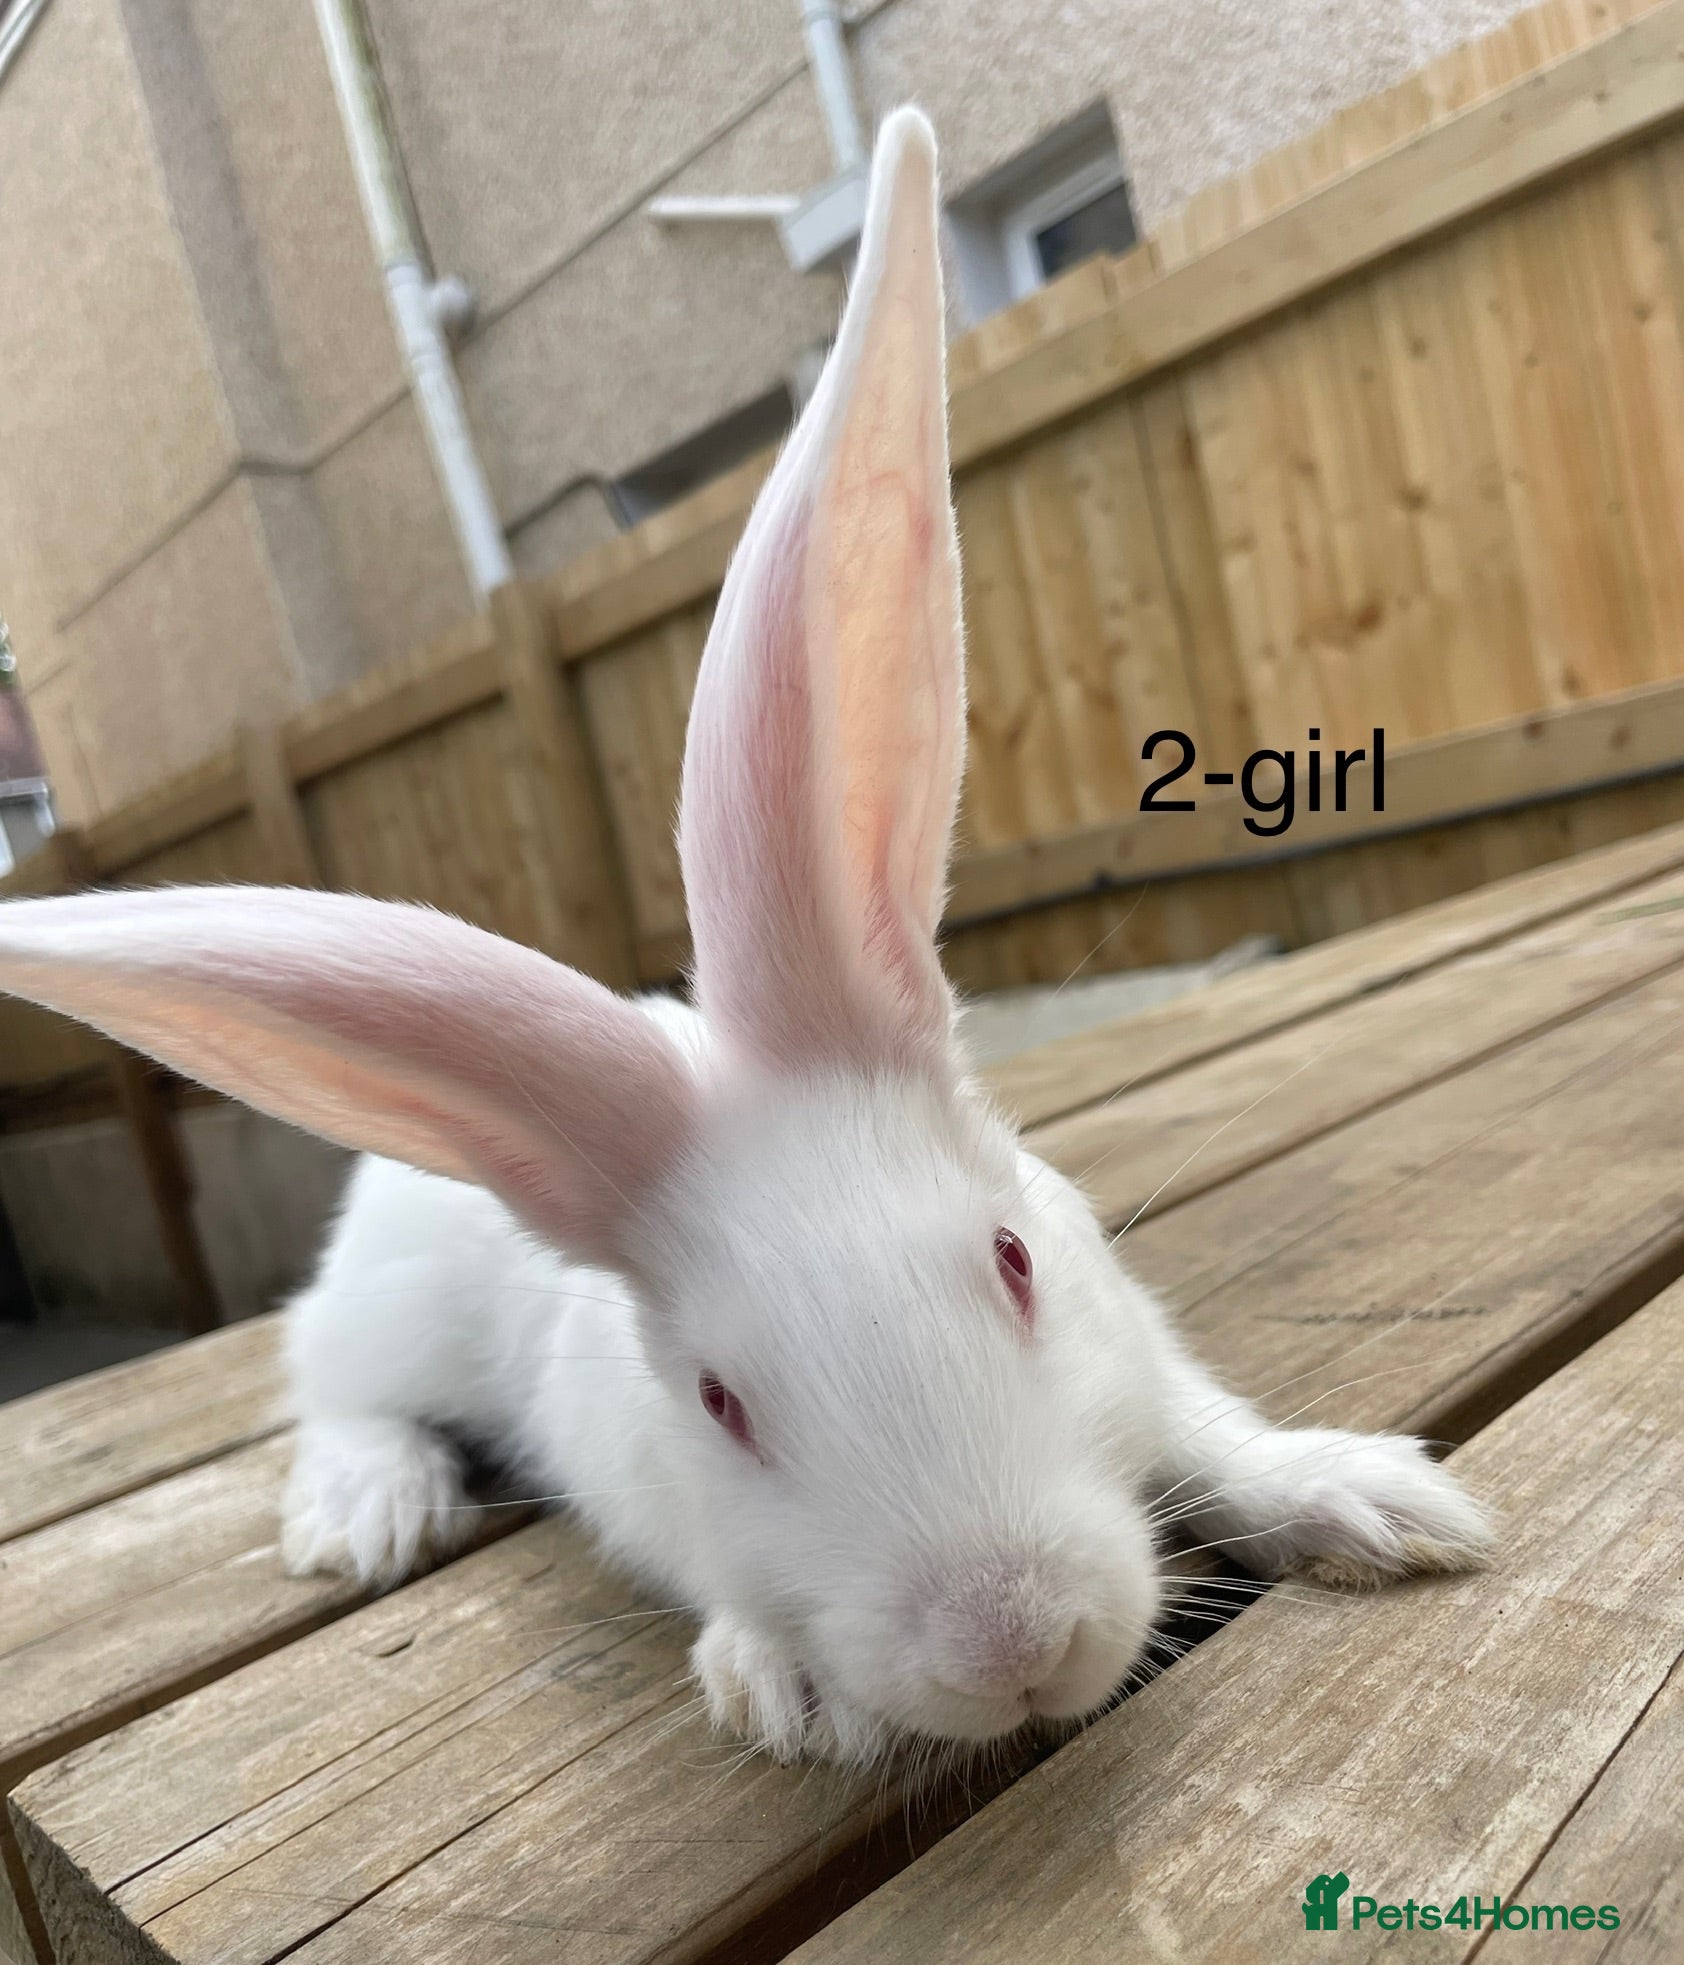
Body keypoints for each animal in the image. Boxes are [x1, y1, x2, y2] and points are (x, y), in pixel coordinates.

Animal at [0, 107, 1490, 1767]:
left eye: (1015, 1262)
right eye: (718, 1403)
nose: (1014, 1641)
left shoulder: (1148, 1352)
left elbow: (1212, 1435)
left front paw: (1380, 1502)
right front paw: (778, 1686)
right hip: (375, 1323)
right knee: (332, 1392)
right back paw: (368, 1513)